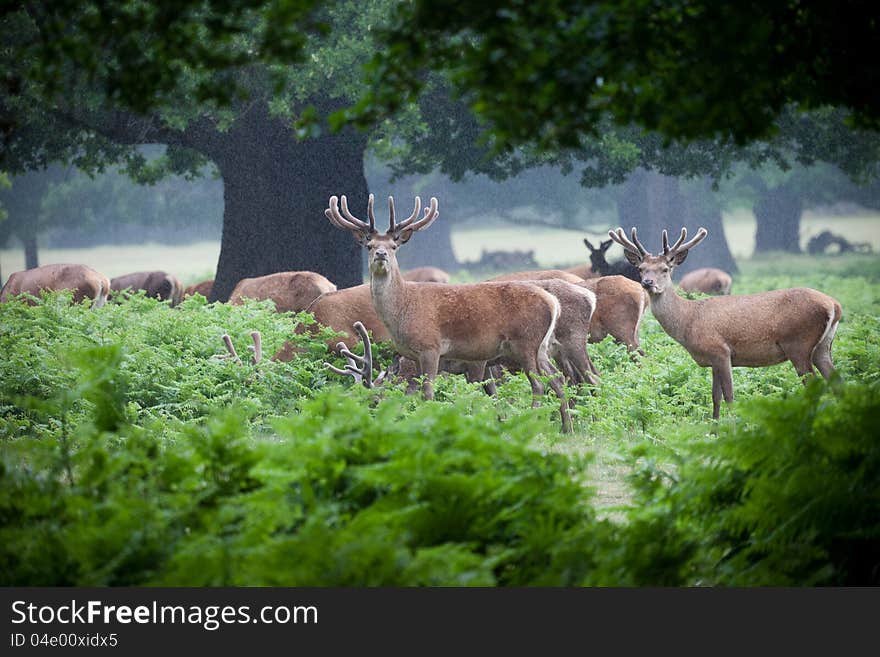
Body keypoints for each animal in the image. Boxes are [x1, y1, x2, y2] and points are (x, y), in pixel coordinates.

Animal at [326, 192, 576, 434]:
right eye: (369, 245)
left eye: (393, 246)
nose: (380, 254)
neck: (403, 310)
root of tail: (553, 302)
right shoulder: (415, 355)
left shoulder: (430, 347)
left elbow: (428, 392)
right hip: (541, 348)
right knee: (558, 379)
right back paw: (567, 428)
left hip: (526, 342)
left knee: (539, 385)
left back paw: (532, 423)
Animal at [608, 228, 844, 418]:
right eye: (641, 268)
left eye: (665, 269)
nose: (647, 283)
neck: (688, 321)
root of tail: (834, 305)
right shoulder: (712, 359)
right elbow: (715, 397)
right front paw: (714, 429)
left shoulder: (721, 350)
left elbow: (730, 395)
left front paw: (732, 427)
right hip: (823, 346)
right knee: (837, 381)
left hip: (798, 344)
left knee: (814, 385)